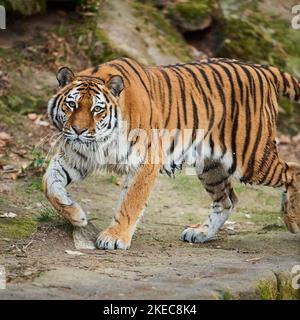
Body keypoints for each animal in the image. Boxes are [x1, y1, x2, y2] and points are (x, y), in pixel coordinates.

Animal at [42, 57, 300, 250]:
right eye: (72, 105)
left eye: (97, 109)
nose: (78, 130)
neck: (99, 142)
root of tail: (261, 69)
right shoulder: (77, 155)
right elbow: (49, 183)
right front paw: (75, 214)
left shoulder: (146, 160)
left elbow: (131, 201)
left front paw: (115, 237)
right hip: (211, 166)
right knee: (227, 200)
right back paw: (201, 233)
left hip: (251, 158)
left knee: (292, 171)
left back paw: (292, 222)